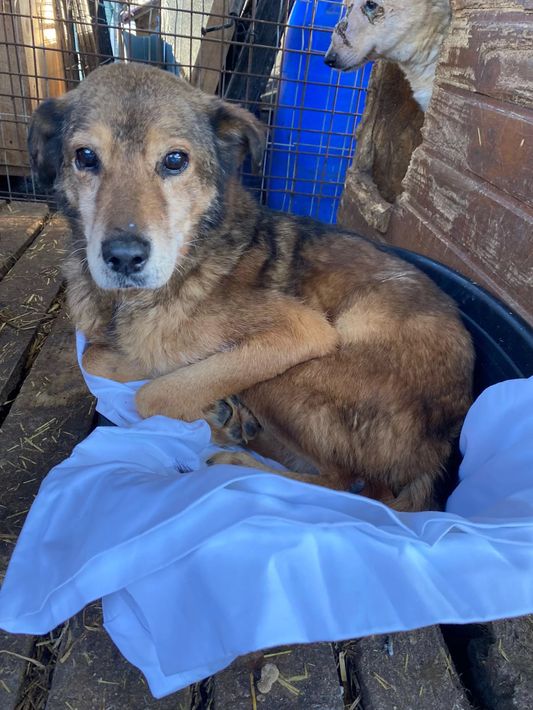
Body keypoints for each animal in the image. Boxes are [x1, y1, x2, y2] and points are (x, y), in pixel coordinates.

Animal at [28, 62, 473, 511]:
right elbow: (101, 359)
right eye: (86, 156)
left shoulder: (301, 330)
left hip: (291, 376)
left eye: (175, 160)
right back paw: (241, 424)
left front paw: (205, 412)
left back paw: (238, 455)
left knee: (351, 486)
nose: (123, 257)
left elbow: (152, 395)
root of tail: (436, 451)